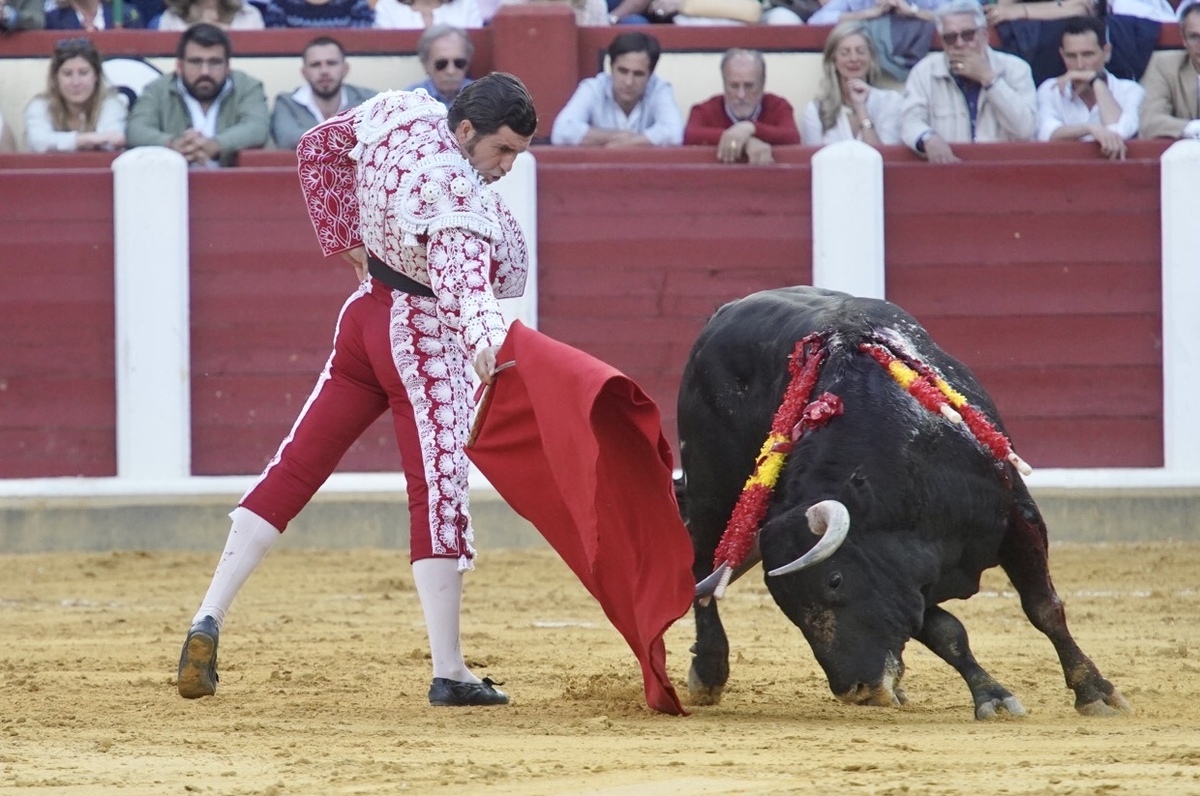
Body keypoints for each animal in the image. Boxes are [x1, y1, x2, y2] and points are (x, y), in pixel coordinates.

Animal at [681, 288, 1128, 720]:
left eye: (834, 580)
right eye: (786, 605)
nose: (856, 690)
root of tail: (724, 312)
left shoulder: (1017, 517)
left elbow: (1043, 608)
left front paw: (1095, 691)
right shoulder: (904, 573)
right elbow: (947, 634)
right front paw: (992, 695)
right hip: (708, 492)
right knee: (701, 566)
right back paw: (709, 671)